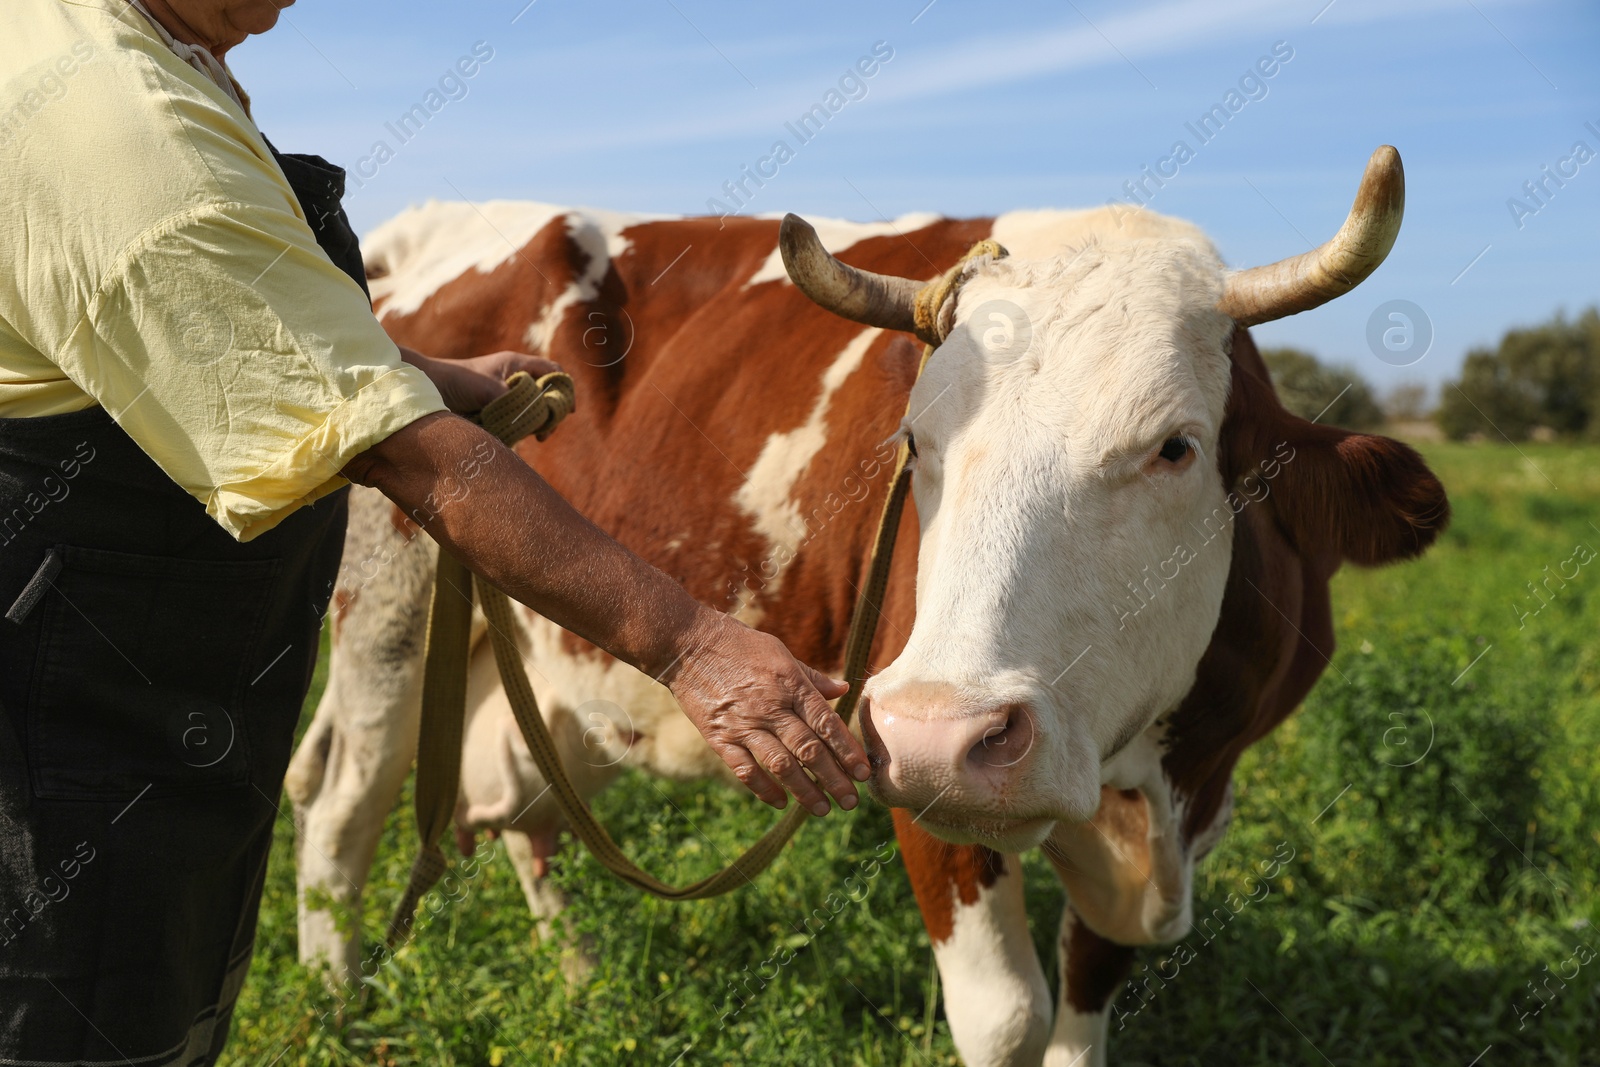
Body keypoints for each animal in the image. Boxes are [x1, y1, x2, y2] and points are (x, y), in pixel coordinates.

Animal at [288, 143, 1452, 1067]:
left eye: (1174, 445)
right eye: (915, 442)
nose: (943, 733)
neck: (1150, 792)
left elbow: (1083, 1004)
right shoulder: (928, 796)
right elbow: (1008, 1018)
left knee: (525, 817)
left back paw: (583, 986)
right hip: (389, 619)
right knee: (342, 814)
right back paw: (331, 1003)